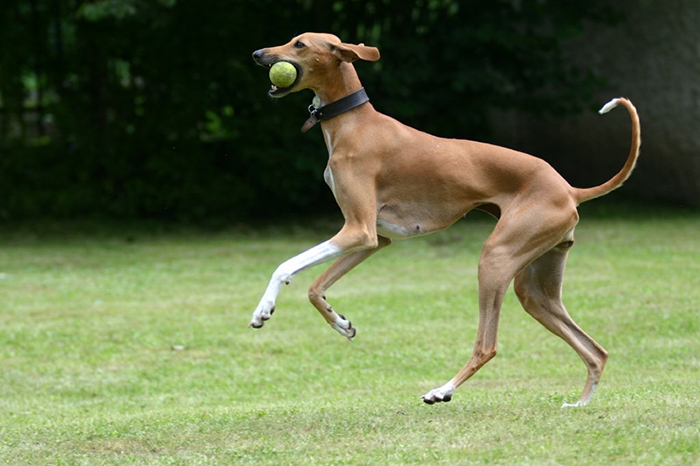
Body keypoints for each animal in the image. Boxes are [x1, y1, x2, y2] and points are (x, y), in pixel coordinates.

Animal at [250, 32, 640, 406]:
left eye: (299, 44)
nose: (257, 54)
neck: (353, 124)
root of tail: (570, 190)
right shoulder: (374, 239)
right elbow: (316, 289)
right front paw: (341, 323)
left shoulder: (358, 231)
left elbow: (285, 267)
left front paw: (262, 310)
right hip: (535, 287)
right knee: (596, 351)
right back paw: (581, 403)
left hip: (495, 259)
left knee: (487, 346)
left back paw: (442, 390)